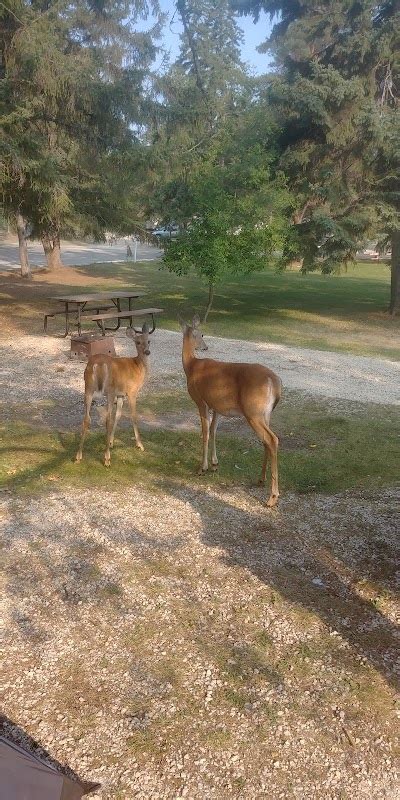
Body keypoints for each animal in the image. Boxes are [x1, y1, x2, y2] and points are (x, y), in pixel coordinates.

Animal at [75, 322, 152, 466]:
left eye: (149, 341)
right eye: (138, 342)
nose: (147, 352)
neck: (138, 366)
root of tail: (98, 364)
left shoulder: (120, 394)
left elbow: (119, 415)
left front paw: (111, 442)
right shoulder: (131, 391)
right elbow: (133, 416)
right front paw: (140, 445)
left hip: (88, 388)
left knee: (87, 418)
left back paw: (78, 456)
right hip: (109, 390)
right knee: (107, 419)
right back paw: (107, 458)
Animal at [180, 314, 282, 506]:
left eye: (202, 333)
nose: (205, 347)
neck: (191, 366)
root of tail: (275, 381)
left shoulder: (200, 401)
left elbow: (205, 433)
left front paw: (202, 468)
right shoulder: (217, 406)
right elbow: (213, 431)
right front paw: (214, 464)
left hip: (253, 412)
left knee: (272, 439)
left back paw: (272, 497)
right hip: (265, 413)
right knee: (266, 441)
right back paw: (261, 479)